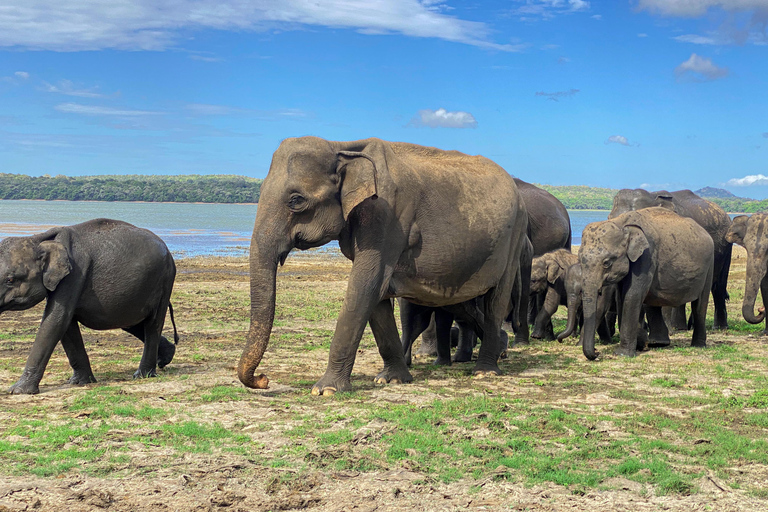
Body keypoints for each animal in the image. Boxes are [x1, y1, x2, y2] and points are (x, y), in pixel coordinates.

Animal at [1, 219, 178, 395]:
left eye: (10, 280)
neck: (38, 239)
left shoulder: (73, 275)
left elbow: (56, 320)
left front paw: (17, 391)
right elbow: (66, 325)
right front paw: (79, 382)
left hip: (165, 280)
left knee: (152, 323)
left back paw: (142, 375)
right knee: (131, 322)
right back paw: (166, 357)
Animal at [239, 136, 529, 395]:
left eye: (296, 200)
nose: (264, 379)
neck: (341, 147)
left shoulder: (387, 216)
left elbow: (365, 287)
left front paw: (325, 390)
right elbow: (375, 296)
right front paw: (391, 379)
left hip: (514, 236)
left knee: (496, 300)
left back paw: (485, 371)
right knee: (465, 305)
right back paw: (501, 349)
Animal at [578, 207, 714, 360]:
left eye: (607, 263)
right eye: (580, 259)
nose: (597, 352)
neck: (621, 223)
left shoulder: (646, 256)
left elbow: (632, 295)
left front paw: (622, 354)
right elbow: (622, 297)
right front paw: (639, 342)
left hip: (709, 265)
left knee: (700, 305)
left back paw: (698, 345)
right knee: (653, 302)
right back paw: (658, 343)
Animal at [609, 189, 732, 330]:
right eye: (609, 219)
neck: (653, 196)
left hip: (726, 247)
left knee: (718, 285)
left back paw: (718, 327)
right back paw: (683, 327)